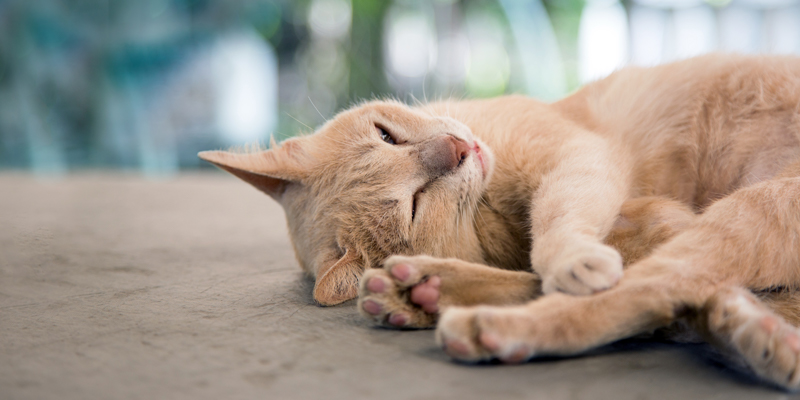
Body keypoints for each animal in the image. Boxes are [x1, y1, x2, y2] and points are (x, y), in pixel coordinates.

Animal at [198, 54, 800, 390]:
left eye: (385, 133)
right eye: (415, 203)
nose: (456, 148)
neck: (492, 221)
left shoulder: (580, 157)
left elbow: (558, 225)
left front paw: (568, 254)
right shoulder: (649, 216)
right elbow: (585, 267)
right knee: (650, 293)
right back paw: (434, 298)